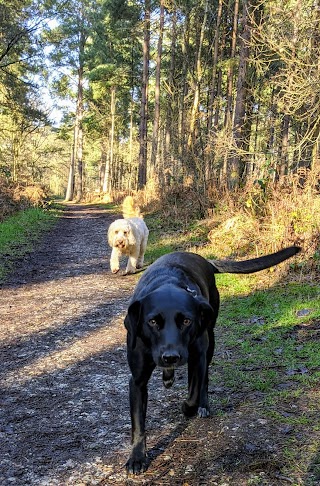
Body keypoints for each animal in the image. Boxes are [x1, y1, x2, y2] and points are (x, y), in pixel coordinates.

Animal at [123, 245, 300, 472]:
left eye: (186, 321)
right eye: (152, 322)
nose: (171, 357)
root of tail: (205, 260)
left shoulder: (197, 358)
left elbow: (193, 393)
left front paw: (188, 408)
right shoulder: (137, 380)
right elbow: (138, 423)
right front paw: (137, 457)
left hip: (210, 340)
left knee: (204, 381)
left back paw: (202, 406)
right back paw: (168, 376)